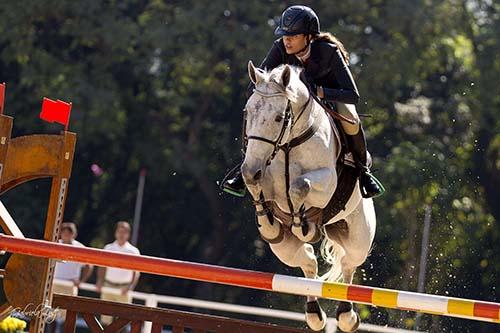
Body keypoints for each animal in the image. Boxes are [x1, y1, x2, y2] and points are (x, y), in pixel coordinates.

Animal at [241, 61, 376, 330]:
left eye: (279, 117)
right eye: (248, 113)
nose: (251, 170)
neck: (289, 143)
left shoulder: (326, 182)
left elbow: (298, 186)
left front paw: (303, 225)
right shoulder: (262, 176)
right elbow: (259, 191)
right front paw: (269, 223)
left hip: (358, 238)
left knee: (348, 265)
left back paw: (347, 316)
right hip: (284, 249)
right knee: (308, 263)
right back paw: (314, 314)